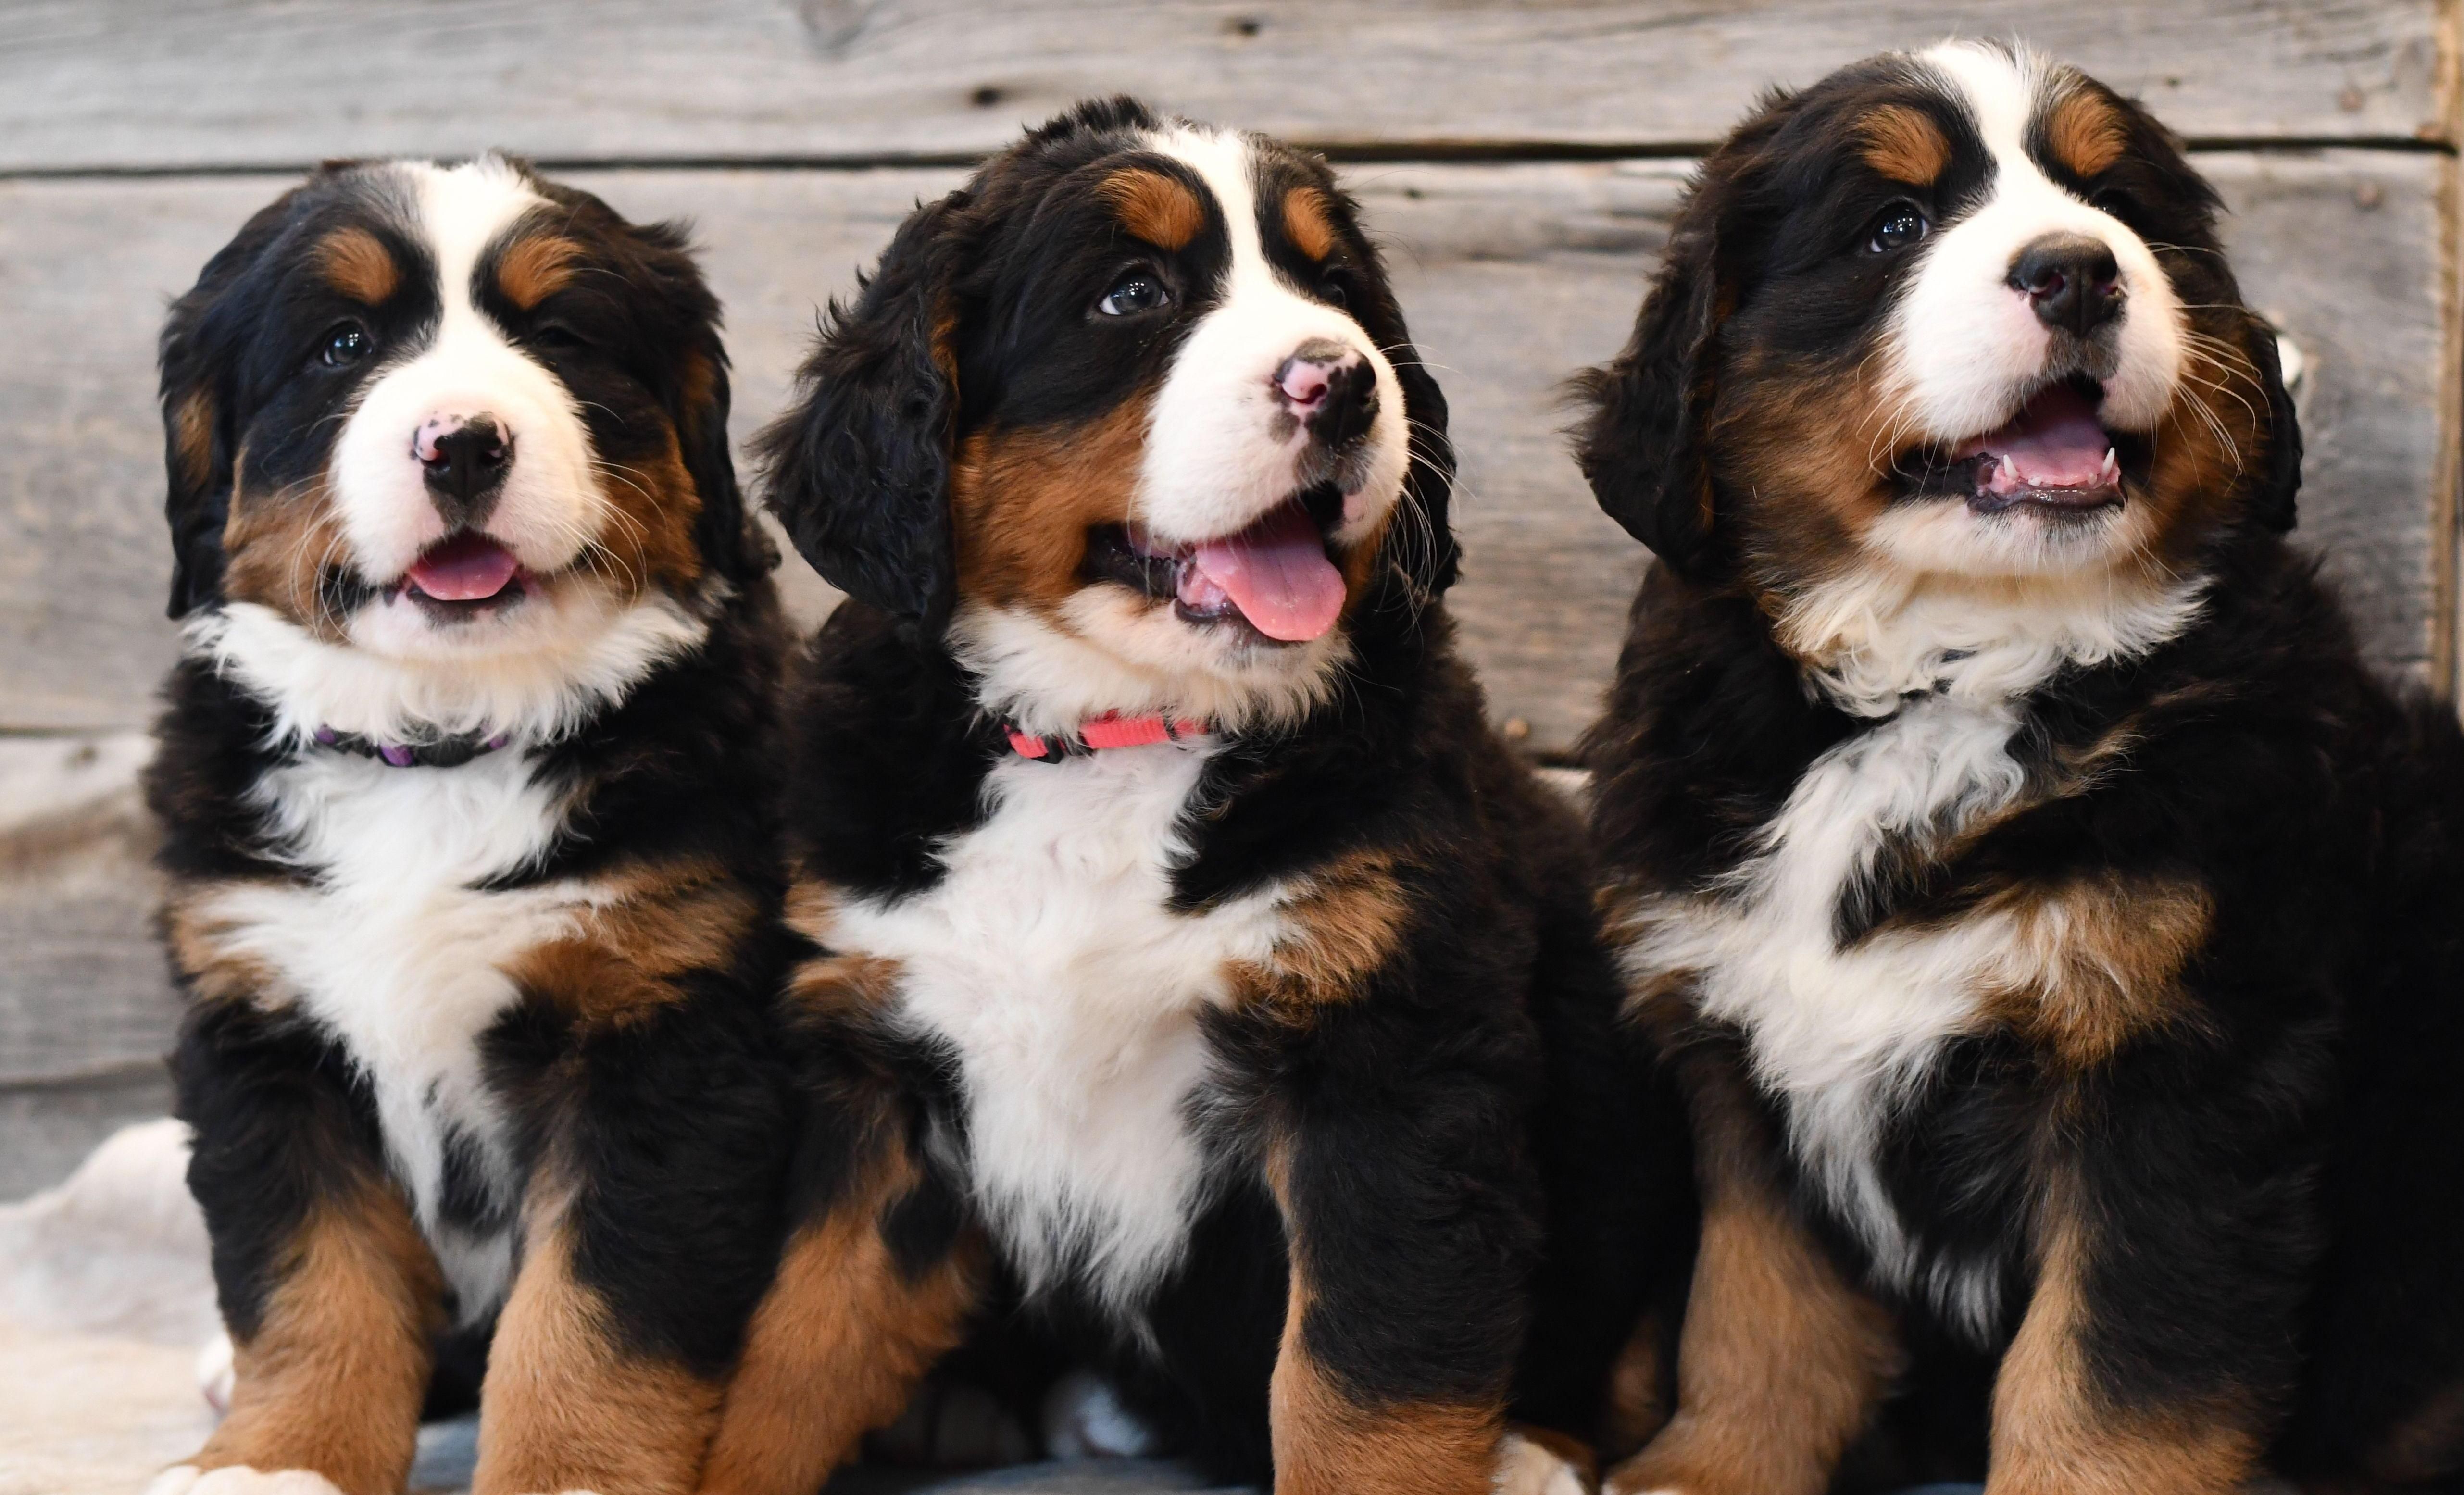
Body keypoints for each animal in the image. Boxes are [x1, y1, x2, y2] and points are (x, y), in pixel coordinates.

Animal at [144, 155, 793, 1495]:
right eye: (341, 344)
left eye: (562, 339)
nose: (464, 442)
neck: (438, 744)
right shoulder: (262, 1024)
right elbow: (309, 1282)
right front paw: (276, 1459)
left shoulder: (663, 1033)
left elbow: (592, 1316)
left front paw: (565, 1472)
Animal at [695, 97, 1695, 1495]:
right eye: (1133, 294)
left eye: (1335, 290)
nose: (1346, 380)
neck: (1115, 737)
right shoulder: (879, 1092)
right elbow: (784, 1359)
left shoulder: (1387, 1066)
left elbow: (1362, 1394)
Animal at [1567, 41, 2464, 1495]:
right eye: (1893, 226)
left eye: (2117, 204)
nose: (2078, 270)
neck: (1947, 676)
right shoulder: (1746, 1060)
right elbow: (1757, 1316)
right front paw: (1710, 1465)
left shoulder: (2181, 1059)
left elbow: (2109, 1373)